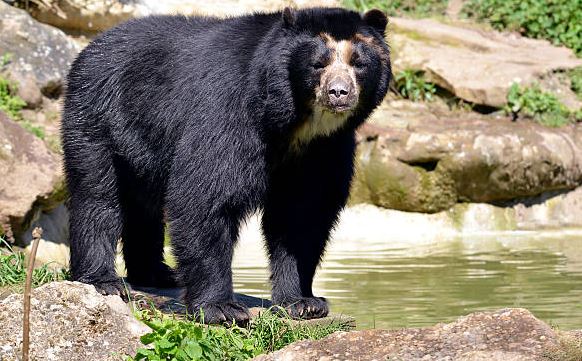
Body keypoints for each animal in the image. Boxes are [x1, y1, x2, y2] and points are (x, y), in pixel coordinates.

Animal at [62, 6, 392, 324]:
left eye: (358, 63)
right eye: (318, 64)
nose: (339, 92)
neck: (296, 124)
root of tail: (93, 45)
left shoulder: (324, 148)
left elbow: (304, 214)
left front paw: (304, 303)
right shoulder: (230, 112)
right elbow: (206, 195)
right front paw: (222, 309)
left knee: (143, 205)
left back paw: (157, 273)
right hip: (98, 117)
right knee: (97, 195)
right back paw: (104, 280)